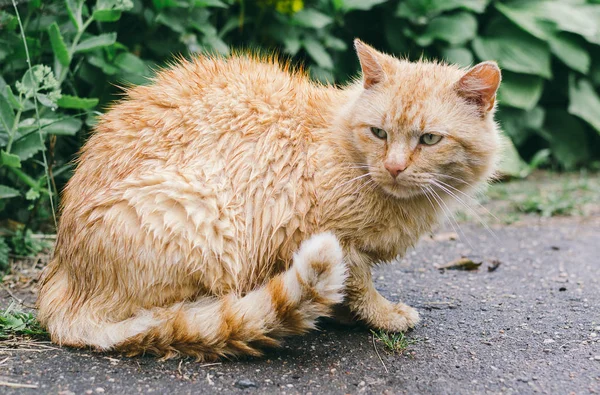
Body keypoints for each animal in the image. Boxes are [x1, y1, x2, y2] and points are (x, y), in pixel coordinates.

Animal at [36, 40, 502, 362]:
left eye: (429, 139)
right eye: (379, 133)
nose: (394, 167)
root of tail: (61, 275)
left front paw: (345, 314)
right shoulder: (325, 235)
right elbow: (359, 284)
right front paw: (381, 315)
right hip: (201, 209)